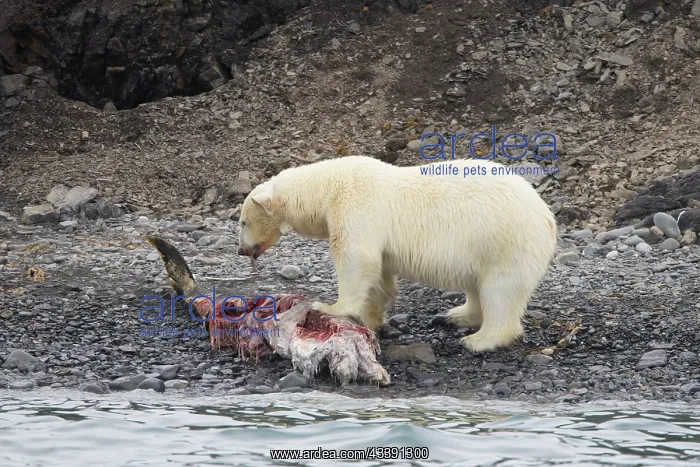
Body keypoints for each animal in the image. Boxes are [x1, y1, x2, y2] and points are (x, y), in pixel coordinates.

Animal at [237, 155, 558, 353]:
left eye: (242, 221)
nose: (241, 250)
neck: (327, 188)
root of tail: (547, 215)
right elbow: (379, 275)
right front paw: (372, 319)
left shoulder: (355, 205)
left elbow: (357, 258)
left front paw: (329, 307)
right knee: (477, 285)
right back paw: (456, 316)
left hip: (505, 240)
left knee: (501, 291)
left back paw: (480, 339)